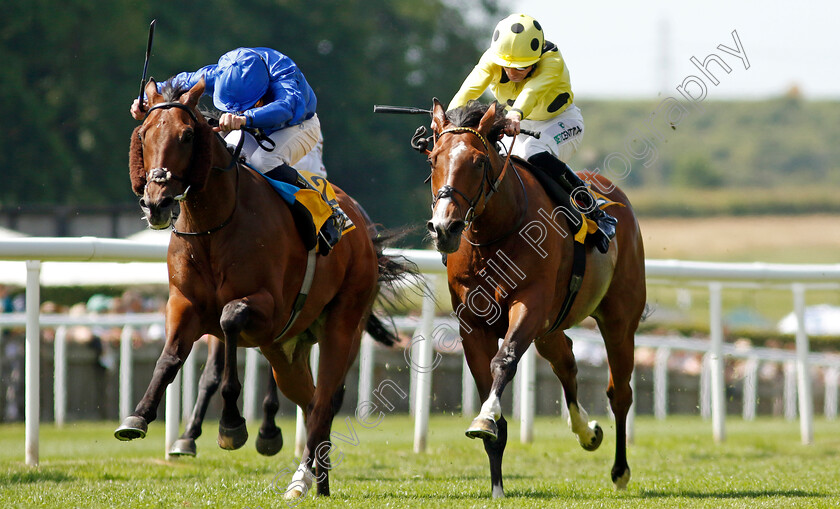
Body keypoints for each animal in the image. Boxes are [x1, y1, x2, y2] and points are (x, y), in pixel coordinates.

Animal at [114, 77, 414, 498]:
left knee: (326, 400)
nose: (156, 202)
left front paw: (231, 425)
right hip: (287, 349)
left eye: (187, 135)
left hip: (341, 326)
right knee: (310, 401)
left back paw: (302, 479)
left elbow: (229, 320)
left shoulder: (268, 309)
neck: (214, 226)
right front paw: (139, 417)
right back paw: (317, 477)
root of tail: (363, 230)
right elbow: (170, 358)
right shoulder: (184, 304)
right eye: (143, 135)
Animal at [424, 99, 648, 496]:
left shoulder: (529, 306)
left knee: (619, 392)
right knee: (567, 363)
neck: (496, 233)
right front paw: (497, 486)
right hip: (550, 329)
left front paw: (484, 418)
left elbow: (504, 361)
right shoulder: (472, 323)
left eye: (478, 161)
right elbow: (487, 386)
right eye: (434, 159)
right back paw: (586, 431)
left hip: (619, 320)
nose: (444, 228)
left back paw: (620, 470)